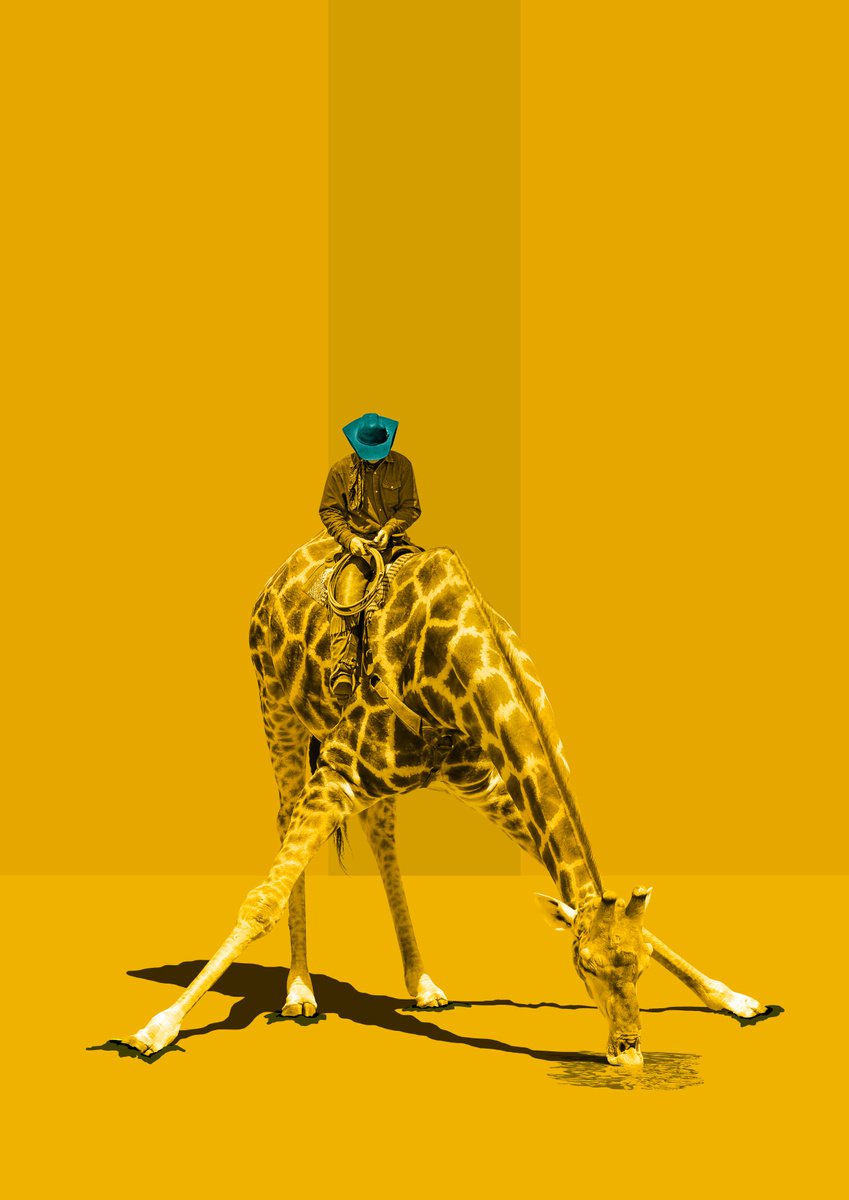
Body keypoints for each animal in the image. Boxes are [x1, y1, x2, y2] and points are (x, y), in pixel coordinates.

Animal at [124, 533, 763, 1065]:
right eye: (582, 965)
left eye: (640, 967)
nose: (628, 1051)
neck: (457, 662)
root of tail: (279, 573)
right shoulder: (337, 769)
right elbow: (260, 902)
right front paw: (155, 1029)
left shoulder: (486, 783)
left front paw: (735, 998)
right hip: (277, 710)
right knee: (285, 822)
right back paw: (300, 992)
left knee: (381, 831)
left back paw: (423, 984)